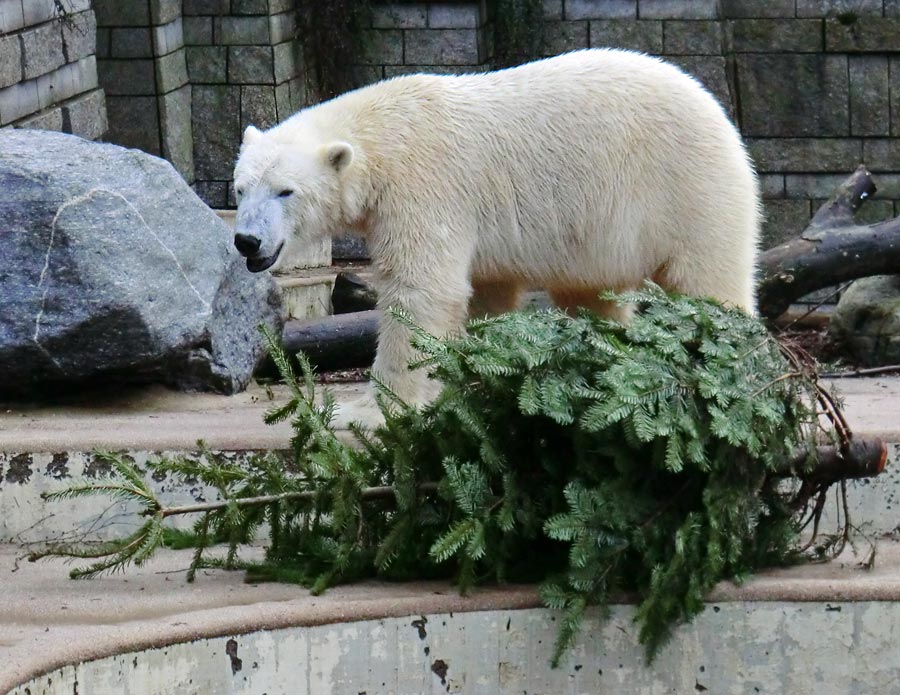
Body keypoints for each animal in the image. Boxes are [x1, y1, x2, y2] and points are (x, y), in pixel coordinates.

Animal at [232, 50, 760, 408]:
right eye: (239, 189)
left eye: (285, 191)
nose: (246, 240)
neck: (380, 133)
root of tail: (718, 111)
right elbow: (486, 294)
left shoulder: (424, 186)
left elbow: (421, 292)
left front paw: (385, 402)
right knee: (591, 295)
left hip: (686, 186)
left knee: (708, 281)